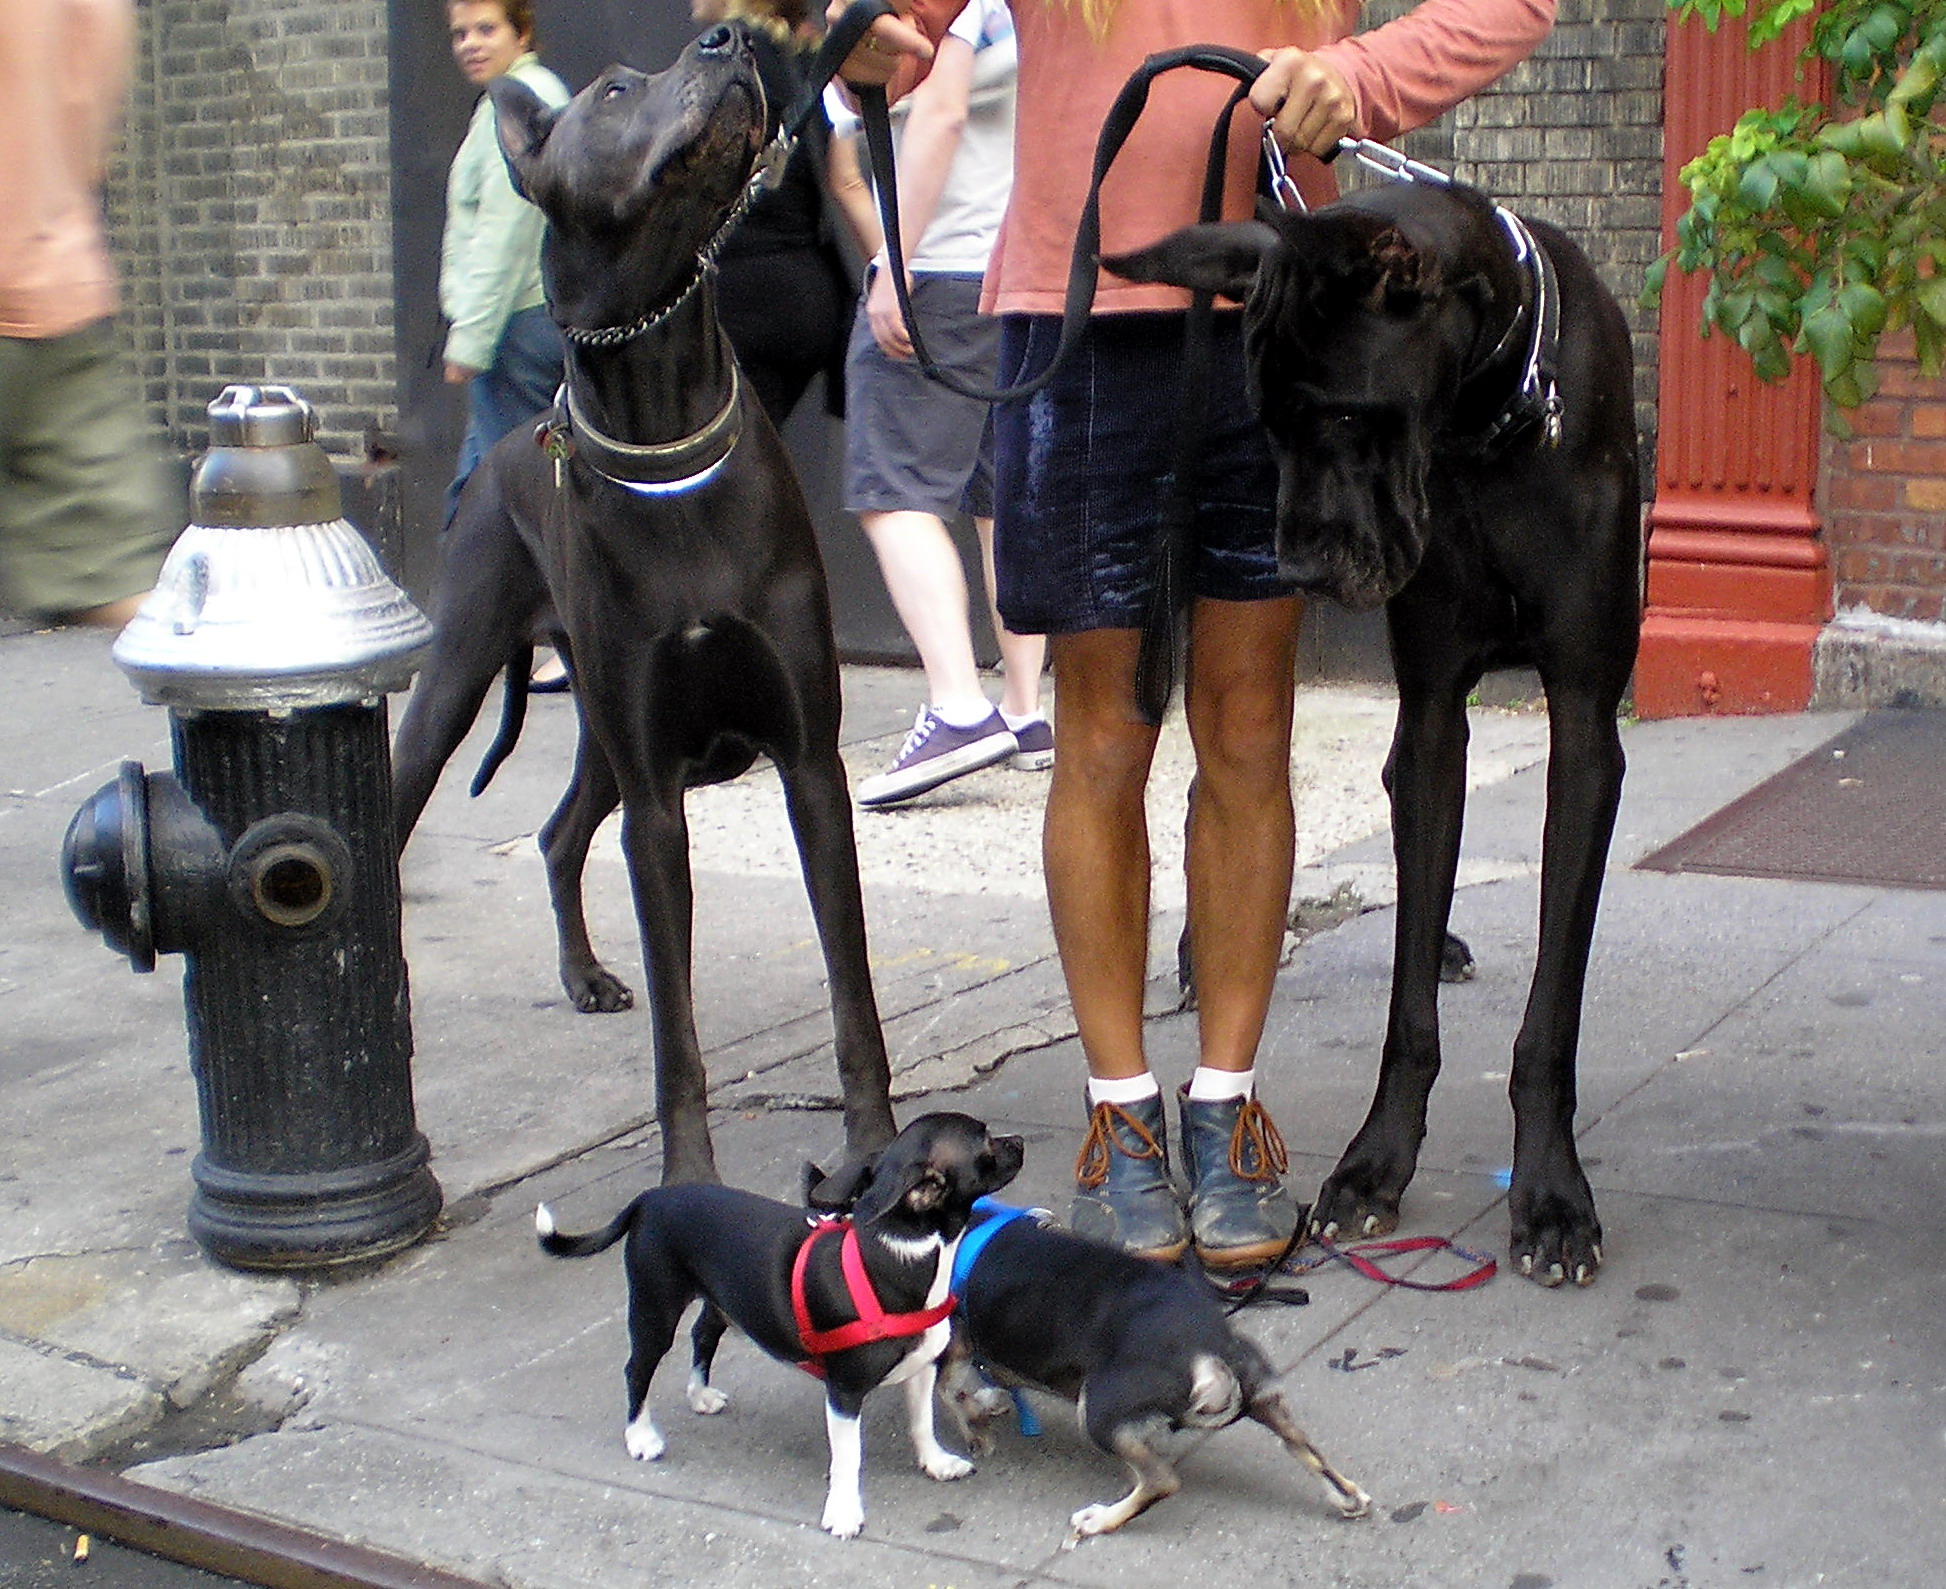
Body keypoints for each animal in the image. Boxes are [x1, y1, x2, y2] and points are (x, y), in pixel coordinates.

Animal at [533, 1112, 1019, 1532]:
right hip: (656, 1307)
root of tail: (649, 1198)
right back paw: (640, 1436)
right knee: (638, 1368)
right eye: (985, 1140)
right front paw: (844, 1512)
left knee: (703, 1334)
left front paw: (935, 1462)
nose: (1018, 1141)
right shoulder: (844, 1392)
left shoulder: (919, 1367)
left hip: (722, 1301)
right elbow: (848, 1457)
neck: (906, 1251)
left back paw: (699, 1394)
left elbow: (922, 1422)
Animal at [937, 1205, 1369, 1540]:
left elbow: (951, 1394)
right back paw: (1348, 1496)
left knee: (1160, 1481)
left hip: (1097, 1411)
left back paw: (1100, 1519)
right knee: (1303, 1447)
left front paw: (976, 1432)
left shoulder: (952, 1350)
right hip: (1266, 1401)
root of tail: (1210, 1346)